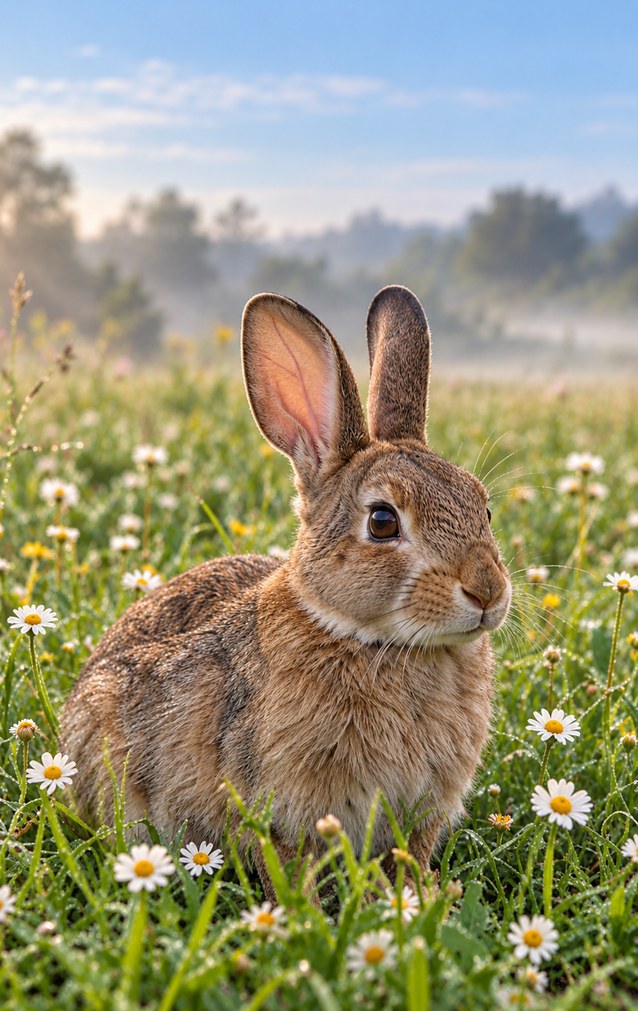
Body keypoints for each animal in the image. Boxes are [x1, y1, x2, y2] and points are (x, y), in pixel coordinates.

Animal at [60, 285, 511, 900]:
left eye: (483, 508)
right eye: (383, 523)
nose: (487, 592)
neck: (371, 640)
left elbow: (410, 855)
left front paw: (424, 897)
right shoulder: (284, 807)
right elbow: (292, 868)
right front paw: (308, 911)